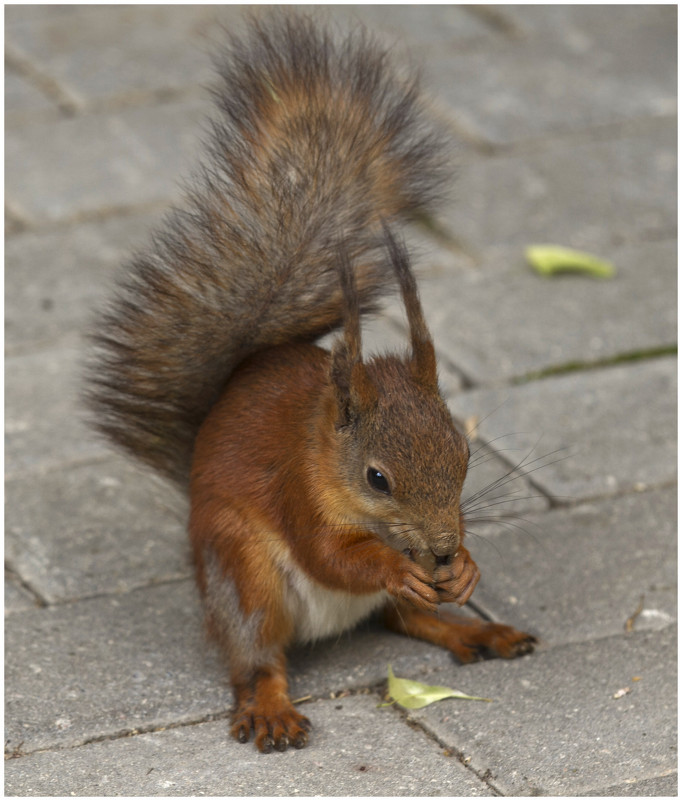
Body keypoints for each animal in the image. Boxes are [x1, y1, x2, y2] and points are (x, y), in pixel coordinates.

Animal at [85, 10, 532, 752]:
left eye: (466, 454)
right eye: (377, 478)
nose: (441, 550)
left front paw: (466, 566)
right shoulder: (296, 488)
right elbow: (329, 554)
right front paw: (396, 562)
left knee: (408, 620)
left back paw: (478, 631)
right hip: (244, 576)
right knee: (258, 656)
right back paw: (271, 706)